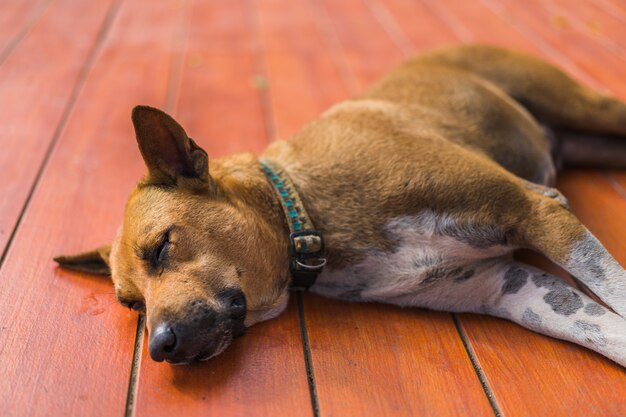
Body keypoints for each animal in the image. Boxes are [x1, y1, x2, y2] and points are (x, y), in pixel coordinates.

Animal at [54, 44, 624, 366]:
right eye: (131, 305)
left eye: (162, 246)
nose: (159, 347)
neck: (304, 212)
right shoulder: (514, 287)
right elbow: (604, 328)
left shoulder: (534, 210)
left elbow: (614, 288)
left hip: (585, 107)